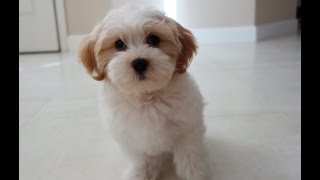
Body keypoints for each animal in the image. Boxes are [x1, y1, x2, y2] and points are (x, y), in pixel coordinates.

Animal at [78, 4, 208, 179]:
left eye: (154, 39)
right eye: (119, 44)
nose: (139, 63)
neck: (146, 98)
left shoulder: (188, 126)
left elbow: (189, 152)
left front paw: (193, 173)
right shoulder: (132, 138)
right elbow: (141, 159)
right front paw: (140, 173)